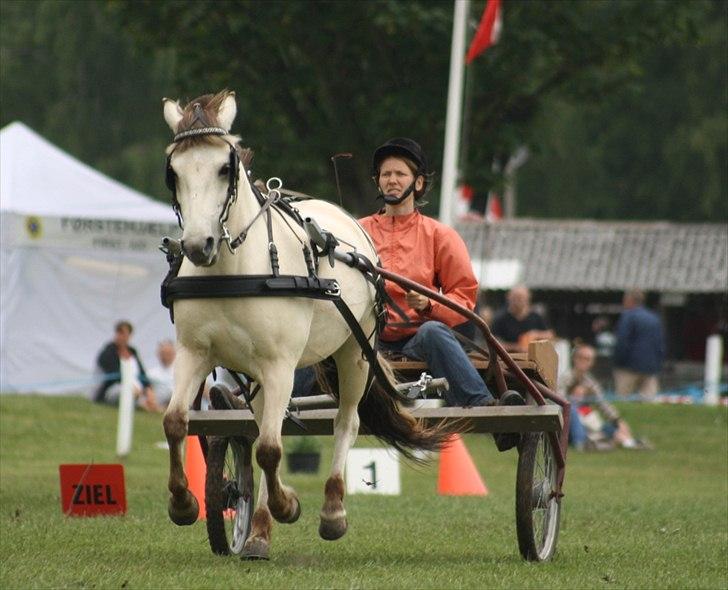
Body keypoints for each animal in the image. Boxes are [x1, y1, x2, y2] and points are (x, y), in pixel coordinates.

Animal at [161, 91, 446, 560]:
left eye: (225, 167)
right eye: (174, 171)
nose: (198, 246)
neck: (236, 270)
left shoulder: (280, 364)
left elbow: (271, 449)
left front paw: (289, 504)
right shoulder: (193, 354)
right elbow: (175, 423)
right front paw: (184, 503)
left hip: (355, 352)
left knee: (345, 423)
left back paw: (331, 512)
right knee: (262, 427)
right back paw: (257, 532)